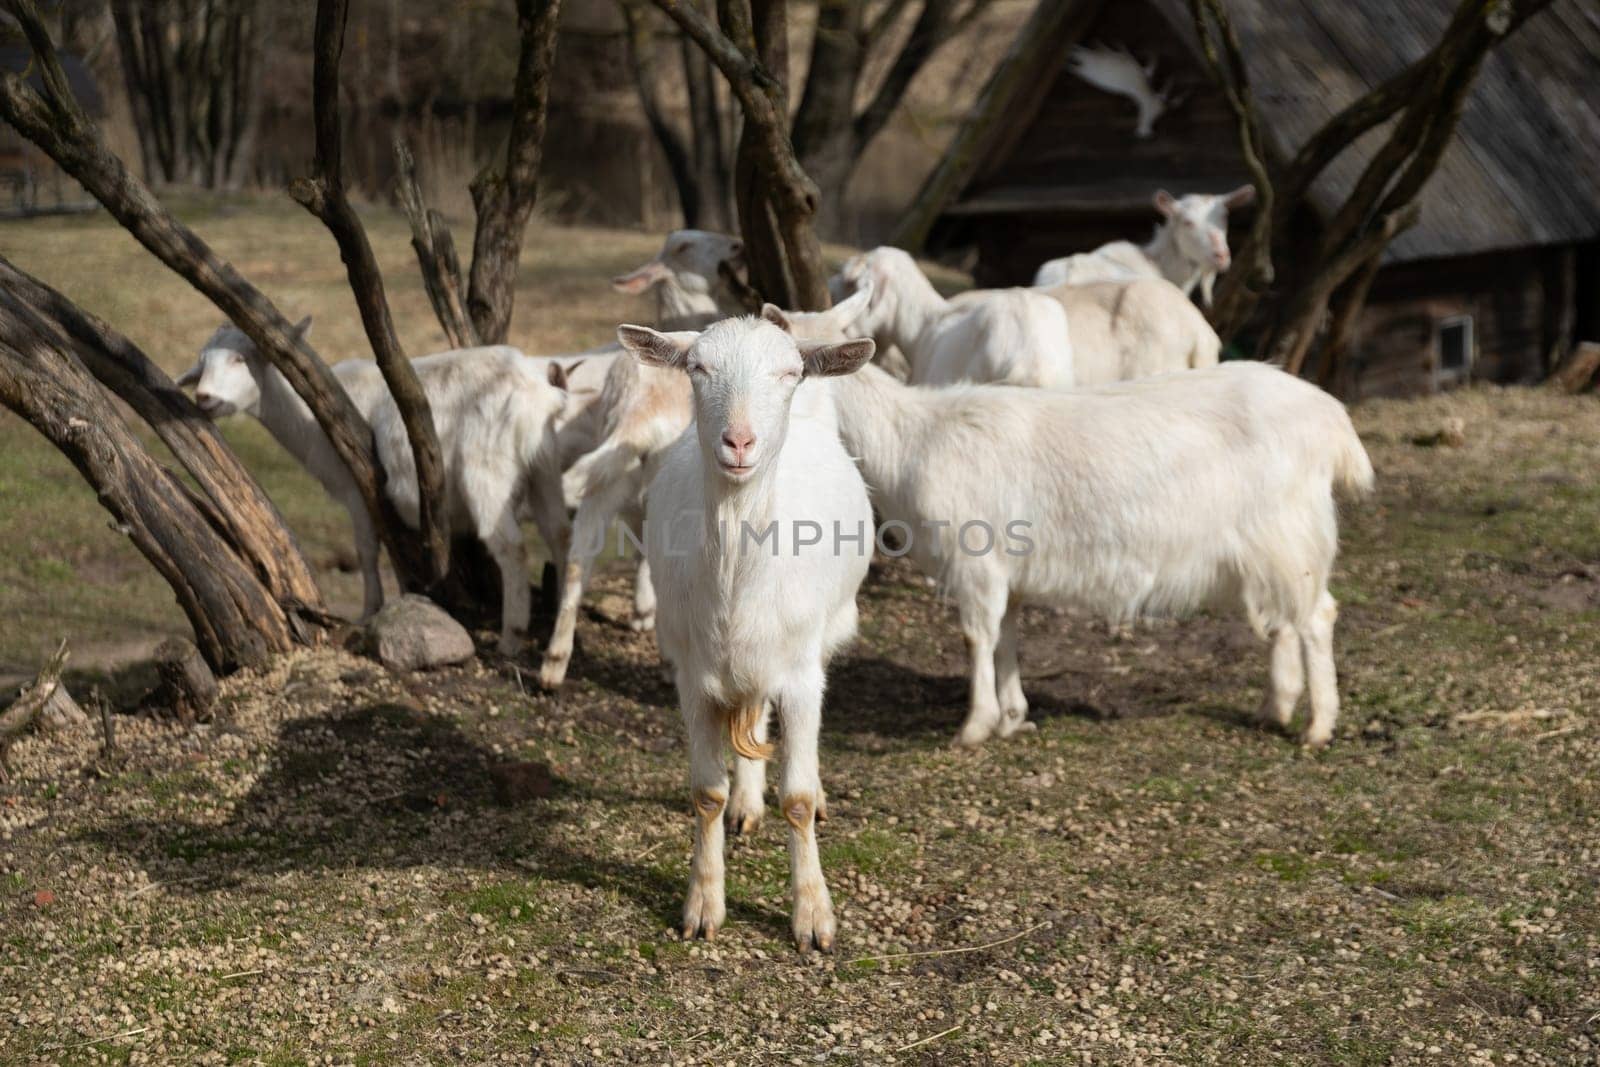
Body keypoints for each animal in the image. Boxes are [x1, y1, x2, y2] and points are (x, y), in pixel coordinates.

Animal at [620, 315, 876, 953]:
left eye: (788, 372)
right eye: (697, 368)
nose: (738, 442)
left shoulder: (802, 675)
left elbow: (799, 798)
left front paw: (813, 917)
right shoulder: (692, 676)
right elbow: (705, 793)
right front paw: (703, 904)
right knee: (753, 714)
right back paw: (745, 803)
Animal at [825, 358, 1376, 751]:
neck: (911, 439)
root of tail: (1334, 419)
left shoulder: (977, 562)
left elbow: (976, 638)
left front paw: (975, 727)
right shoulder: (1008, 571)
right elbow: (1006, 636)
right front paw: (1012, 718)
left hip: (1289, 532)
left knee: (1316, 617)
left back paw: (1317, 726)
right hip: (1265, 547)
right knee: (1284, 621)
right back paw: (1274, 709)